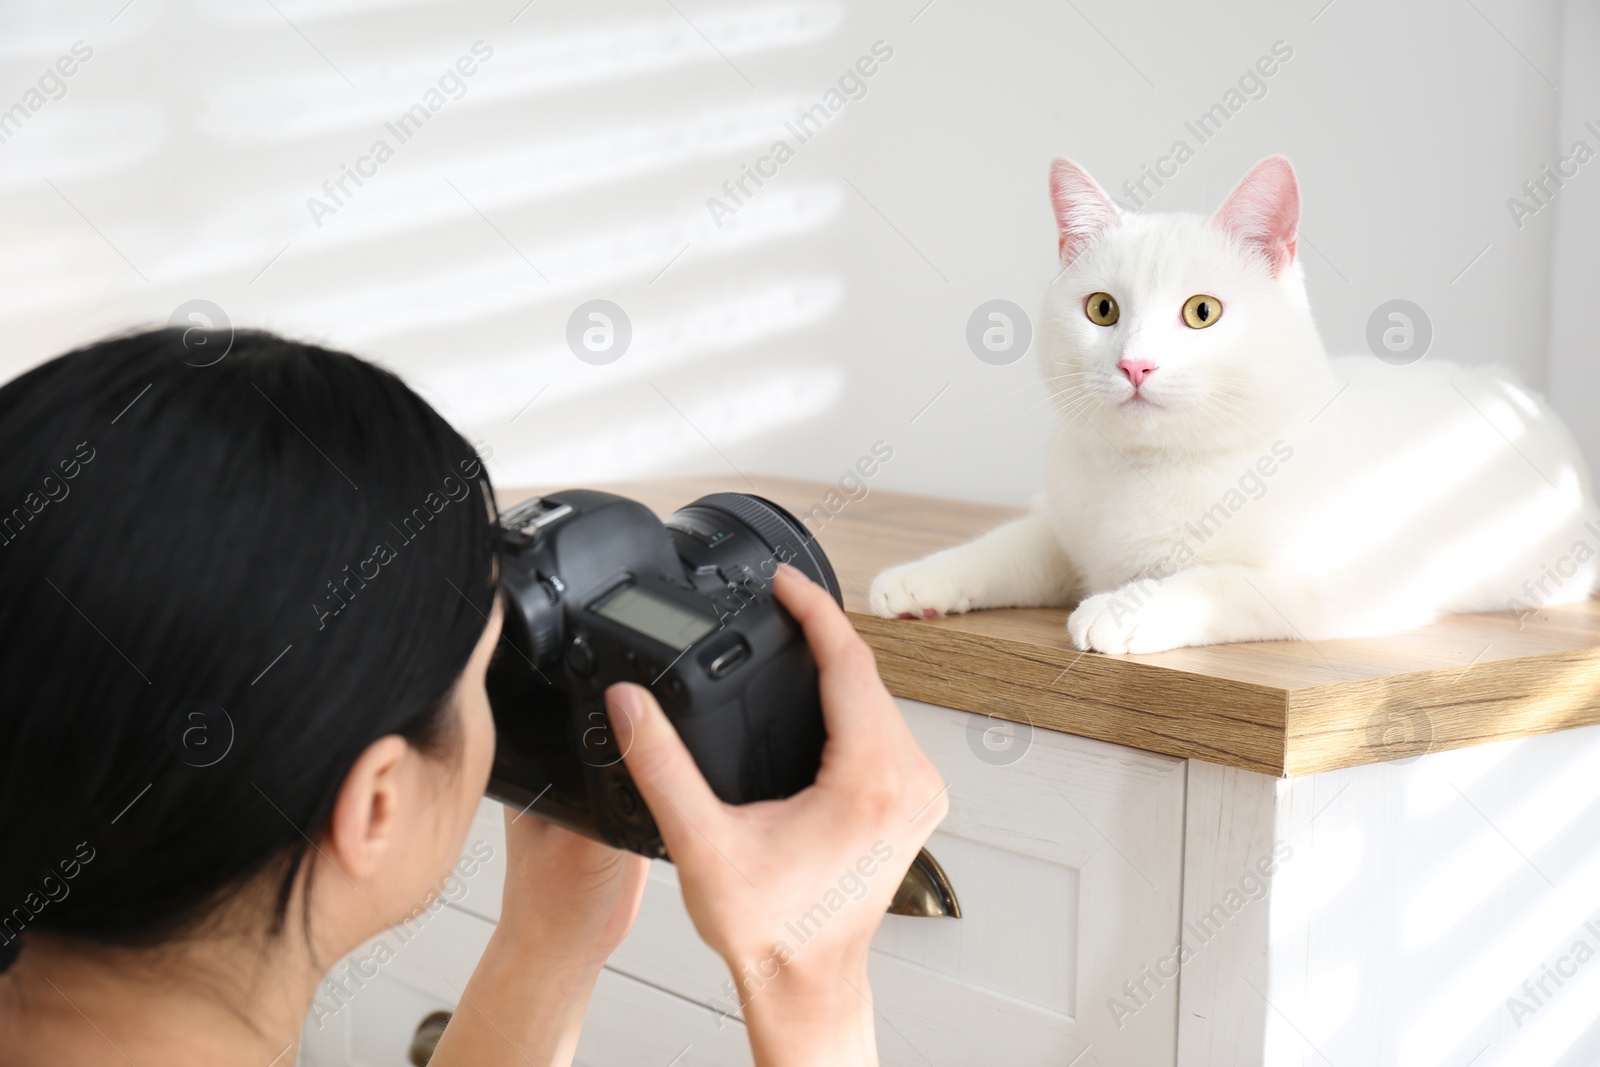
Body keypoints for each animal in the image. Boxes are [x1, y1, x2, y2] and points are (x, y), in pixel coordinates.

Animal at [876, 154, 1600, 655]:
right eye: (1102, 309)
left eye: (1202, 312)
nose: (1135, 364)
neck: (1153, 472)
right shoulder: (1066, 537)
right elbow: (1005, 546)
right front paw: (920, 579)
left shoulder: (1345, 586)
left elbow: (1218, 580)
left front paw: (1124, 607)